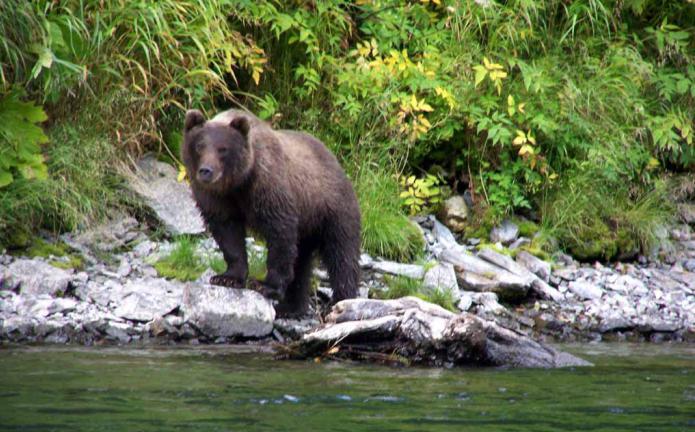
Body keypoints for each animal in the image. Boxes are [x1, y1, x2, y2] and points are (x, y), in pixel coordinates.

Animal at [182, 109, 362, 318]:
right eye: (199, 146)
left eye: (223, 149)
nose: (206, 171)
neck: (238, 183)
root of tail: (336, 162)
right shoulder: (217, 199)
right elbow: (228, 234)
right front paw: (227, 278)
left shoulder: (268, 188)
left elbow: (280, 234)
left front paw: (265, 285)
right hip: (307, 226)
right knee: (302, 262)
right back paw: (291, 307)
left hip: (331, 209)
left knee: (341, 254)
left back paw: (343, 299)